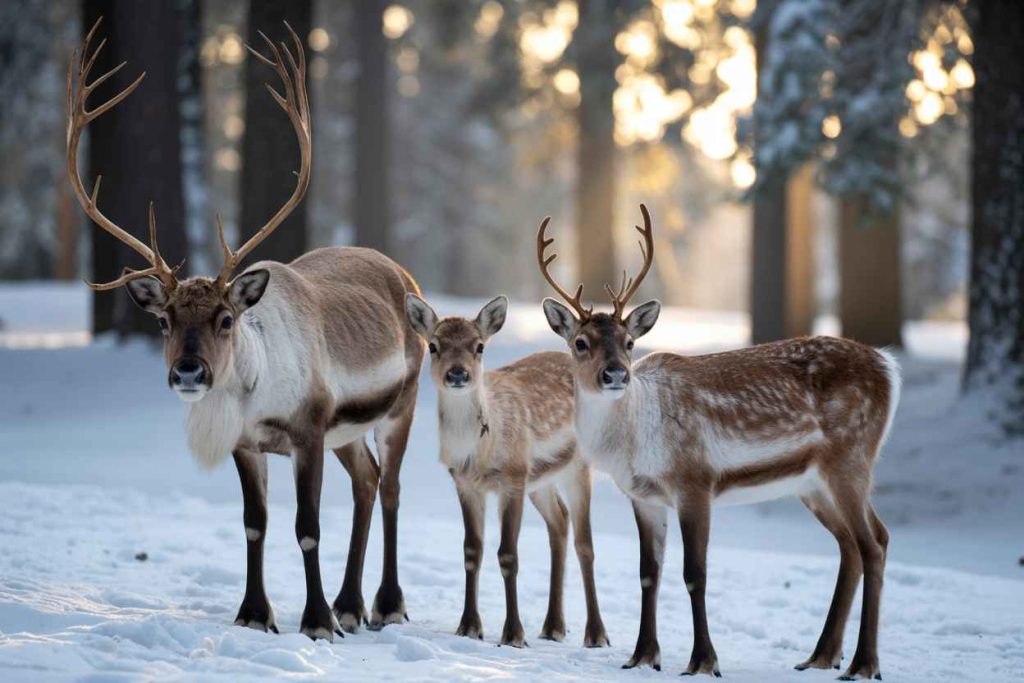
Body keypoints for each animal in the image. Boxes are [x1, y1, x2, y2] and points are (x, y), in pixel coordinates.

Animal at [67, 19, 424, 640]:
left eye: (226, 318)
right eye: (164, 320)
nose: (189, 371)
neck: (259, 396)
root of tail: (406, 276)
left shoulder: (308, 430)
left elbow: (307, 527)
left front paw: (314, 621)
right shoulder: (247, 444)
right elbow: (254, 524)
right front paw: (256, 614)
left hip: (401, 406)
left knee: (393, 488)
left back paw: (384, 604)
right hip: (349, 431)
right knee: (367, 481)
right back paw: (350, 605)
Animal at [404, 294, 610, 649]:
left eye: (479, 346)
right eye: (433, 345)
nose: (457, 374)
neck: (478, 452)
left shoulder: (512, 477)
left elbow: (508, 555)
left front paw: (513, 633)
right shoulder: (464, 482)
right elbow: (471, 550)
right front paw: (469, 626)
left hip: (576, 466)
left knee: (584, 542)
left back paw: (595, 634)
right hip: (540, 479)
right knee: (560, 521)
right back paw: (553, 626)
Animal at [536, 205, 899, 680]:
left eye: (630, 342)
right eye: (580, 342)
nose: (616, 375)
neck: (632, 443)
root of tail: (889, 366)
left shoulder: (695, 481)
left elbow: (695, 573)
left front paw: (703, 660)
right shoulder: (645, 495)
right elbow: (648, 573)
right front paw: (642, 656)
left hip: (851, 458)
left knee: (871, 545)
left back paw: (863, 663)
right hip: (814, 482)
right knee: (859, 544)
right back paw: (821, 656)